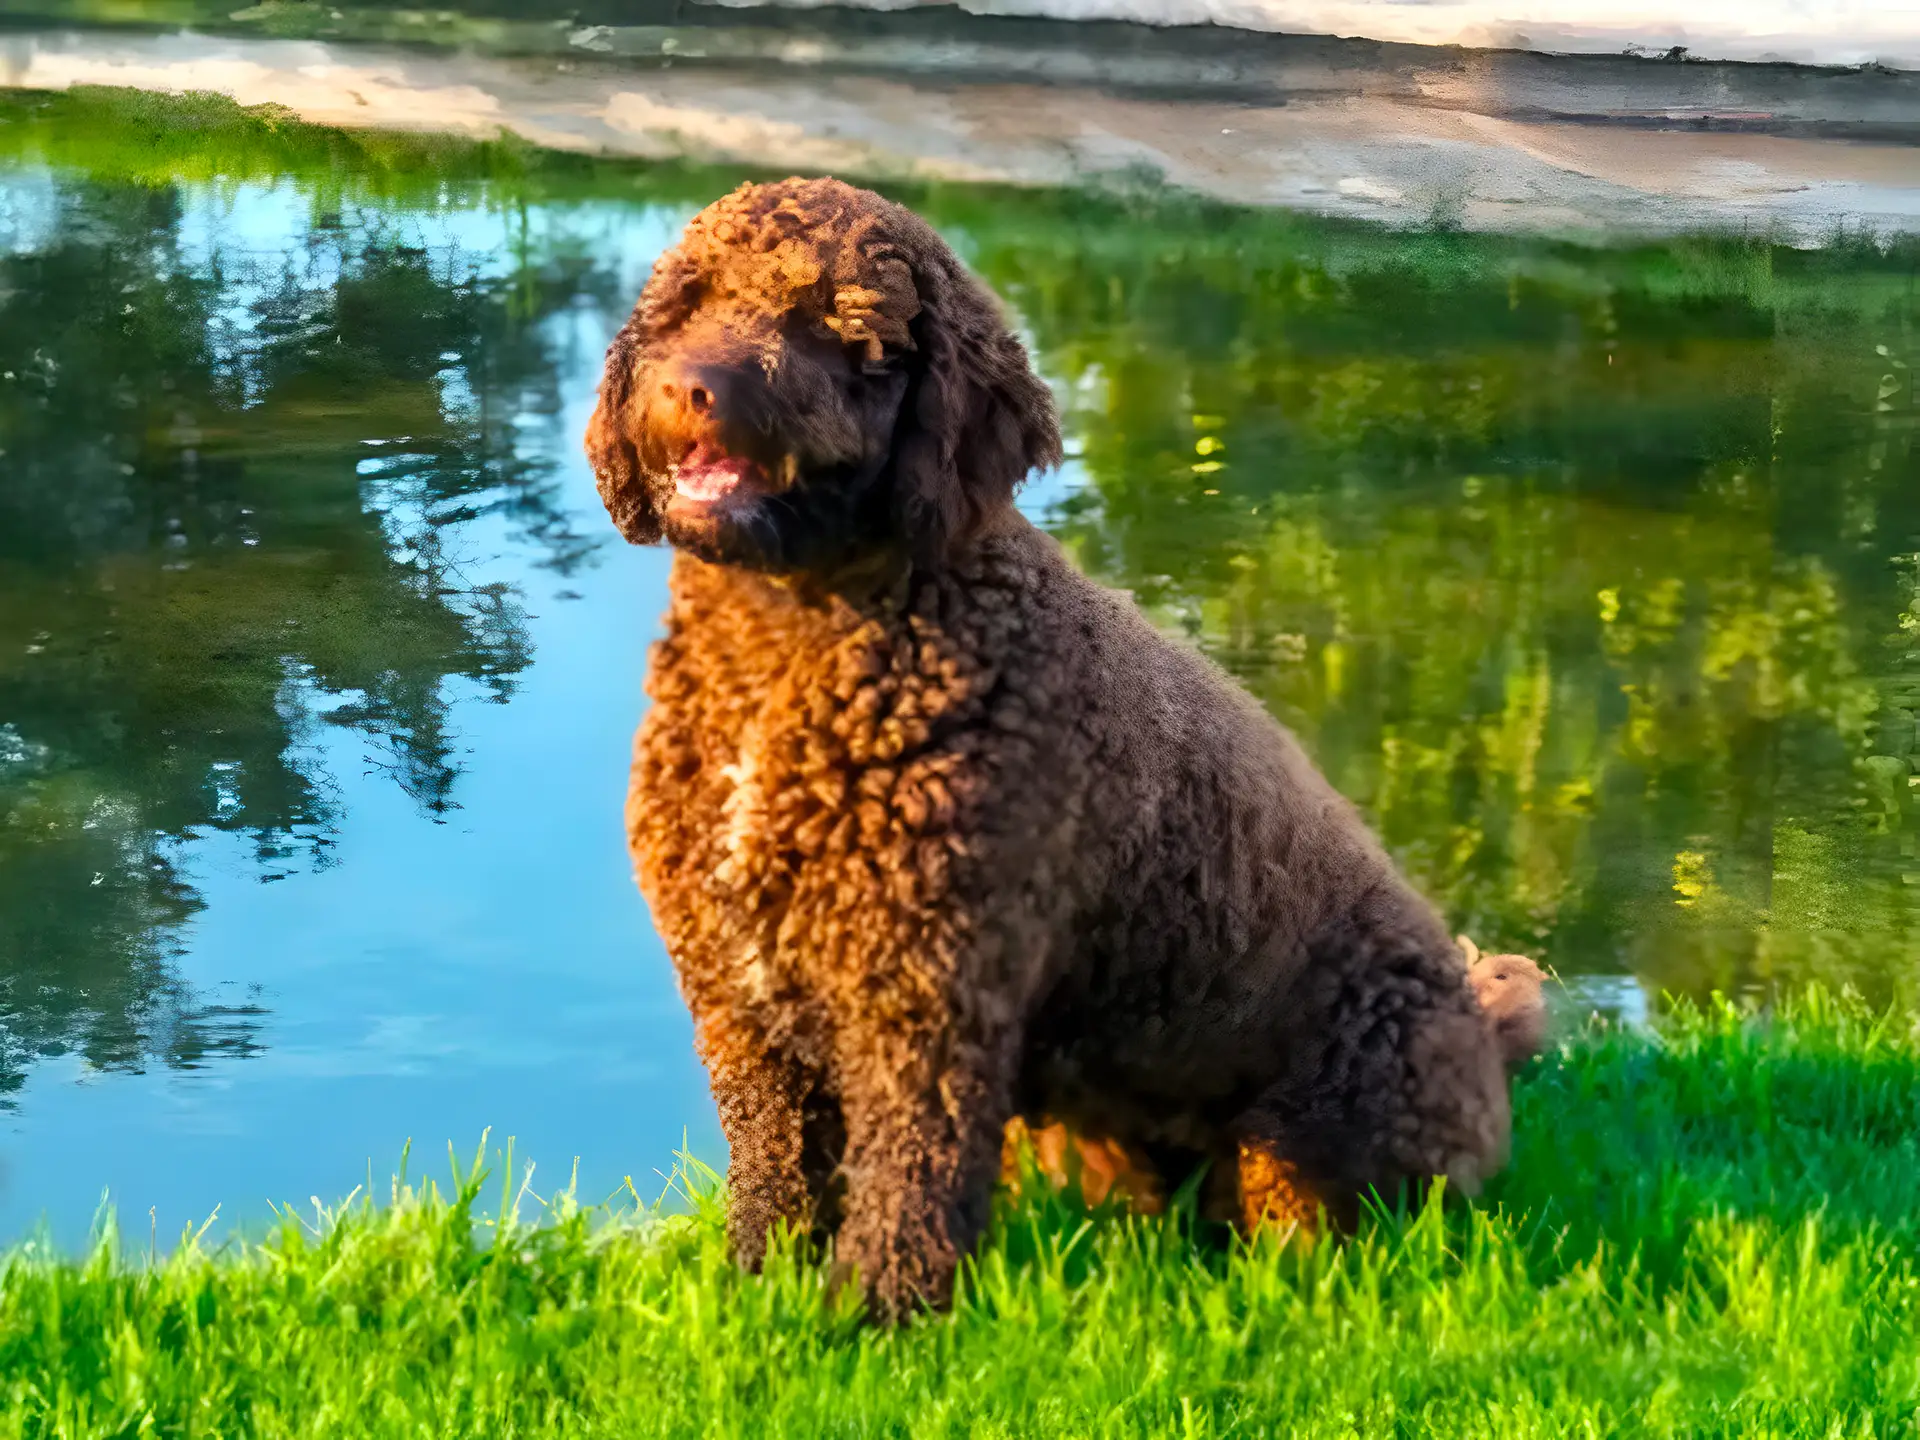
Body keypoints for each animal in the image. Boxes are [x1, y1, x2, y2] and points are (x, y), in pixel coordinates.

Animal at [595, 174, 1512, 1328]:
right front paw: (761, 1293)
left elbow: (908, 1178)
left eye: (840, 330)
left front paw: (876, 1319)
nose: (693, 388)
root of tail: (1492, 1039)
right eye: (691, 300)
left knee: (1302, 1236)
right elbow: (778, 1165)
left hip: (1320, 1120)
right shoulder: (739, 995)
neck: (785, 647)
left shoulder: (923, 995)